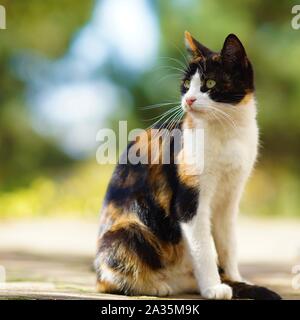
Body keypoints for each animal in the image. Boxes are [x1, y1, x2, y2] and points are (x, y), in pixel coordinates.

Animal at [95, 31, 282, 298]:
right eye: (185, 85)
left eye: (210, 83)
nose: (189, 100)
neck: (226, 132)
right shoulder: (189, 200)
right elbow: (203, 246)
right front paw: (214, 287)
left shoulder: (230, 199)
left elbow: (228, 244)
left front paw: (234, 278)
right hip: (128, 230)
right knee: (108, 279)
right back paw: (156, 285)